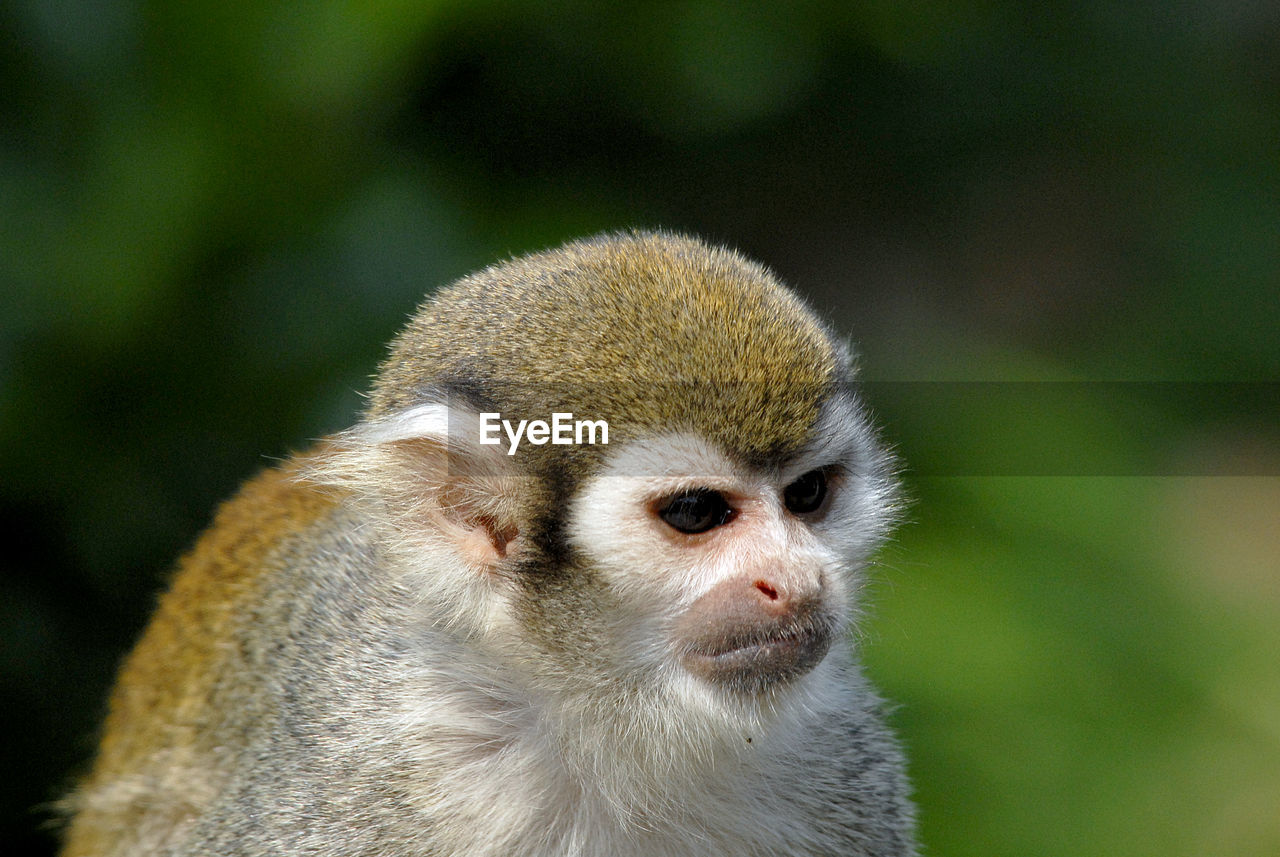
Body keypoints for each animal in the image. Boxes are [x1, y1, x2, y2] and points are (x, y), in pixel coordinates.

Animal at [62, 232, 921, 857]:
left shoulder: (838, 766)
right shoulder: (351, 776)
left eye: (808, 495)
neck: (599, 723)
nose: (798, 579)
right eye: (695, 512)